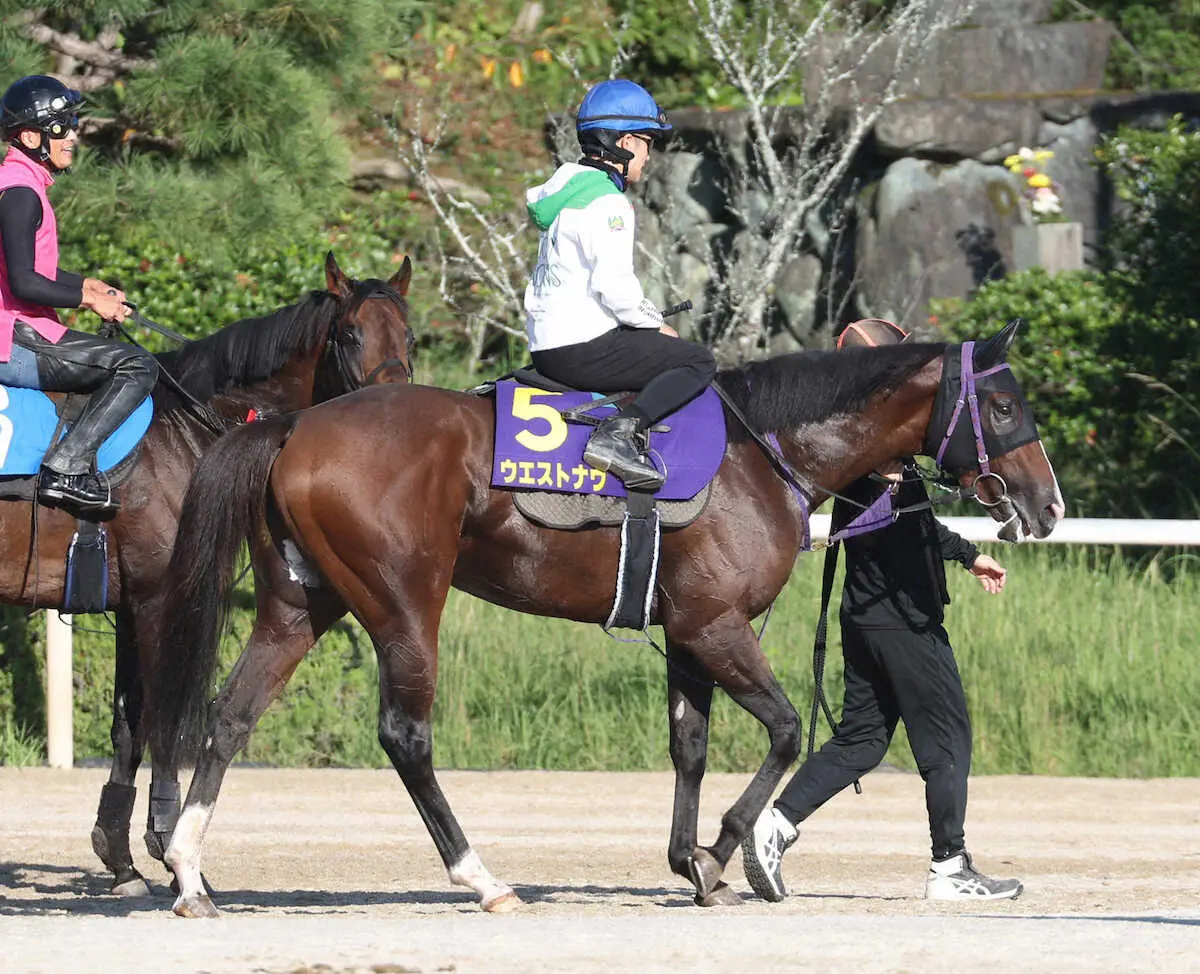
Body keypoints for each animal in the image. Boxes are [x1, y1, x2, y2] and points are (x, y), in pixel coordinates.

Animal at [0, 253, 412, 897]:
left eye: (409, 337)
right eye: (349, 335)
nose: (391, 413)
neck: (183, 428)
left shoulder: (133, 607)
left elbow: (129, 725)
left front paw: (120, 858)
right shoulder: (159, 602)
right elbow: (164, 719)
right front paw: (171, 850)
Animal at [150, 321, 1060, 921]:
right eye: (1002, 406)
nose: (1046, 505)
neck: (760, 454)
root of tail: (296, 424)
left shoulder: (688, 635)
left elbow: (690, 747)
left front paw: (692, 861)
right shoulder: (717, 628)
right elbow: (786, 731)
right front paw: (726, 852)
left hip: (298, 605)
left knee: (230, 715)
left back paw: (189, 872)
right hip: (404, 606)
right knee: (405, 737)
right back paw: (483, 877)